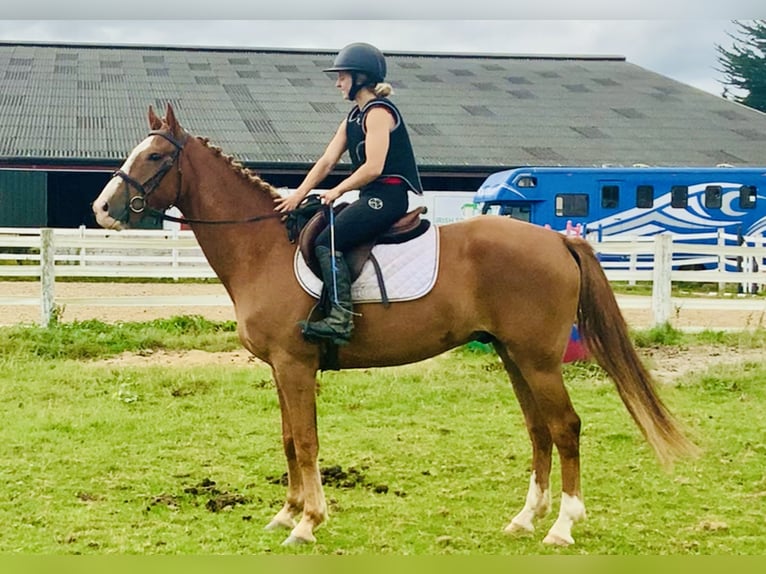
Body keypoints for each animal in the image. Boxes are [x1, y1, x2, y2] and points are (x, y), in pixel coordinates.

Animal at [91, 103, 704, 548]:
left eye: (153, 157)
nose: (101, 209)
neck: (263, 248)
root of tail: (557, 239)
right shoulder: (281, 369)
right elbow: (289, 440)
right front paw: (286, 513)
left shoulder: (295, 365)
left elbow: (307, 442)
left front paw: (308, 523)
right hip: (514, 356)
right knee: (539, 431)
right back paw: (525, 519)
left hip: (537, 358)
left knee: (565, 428)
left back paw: (561, 527)